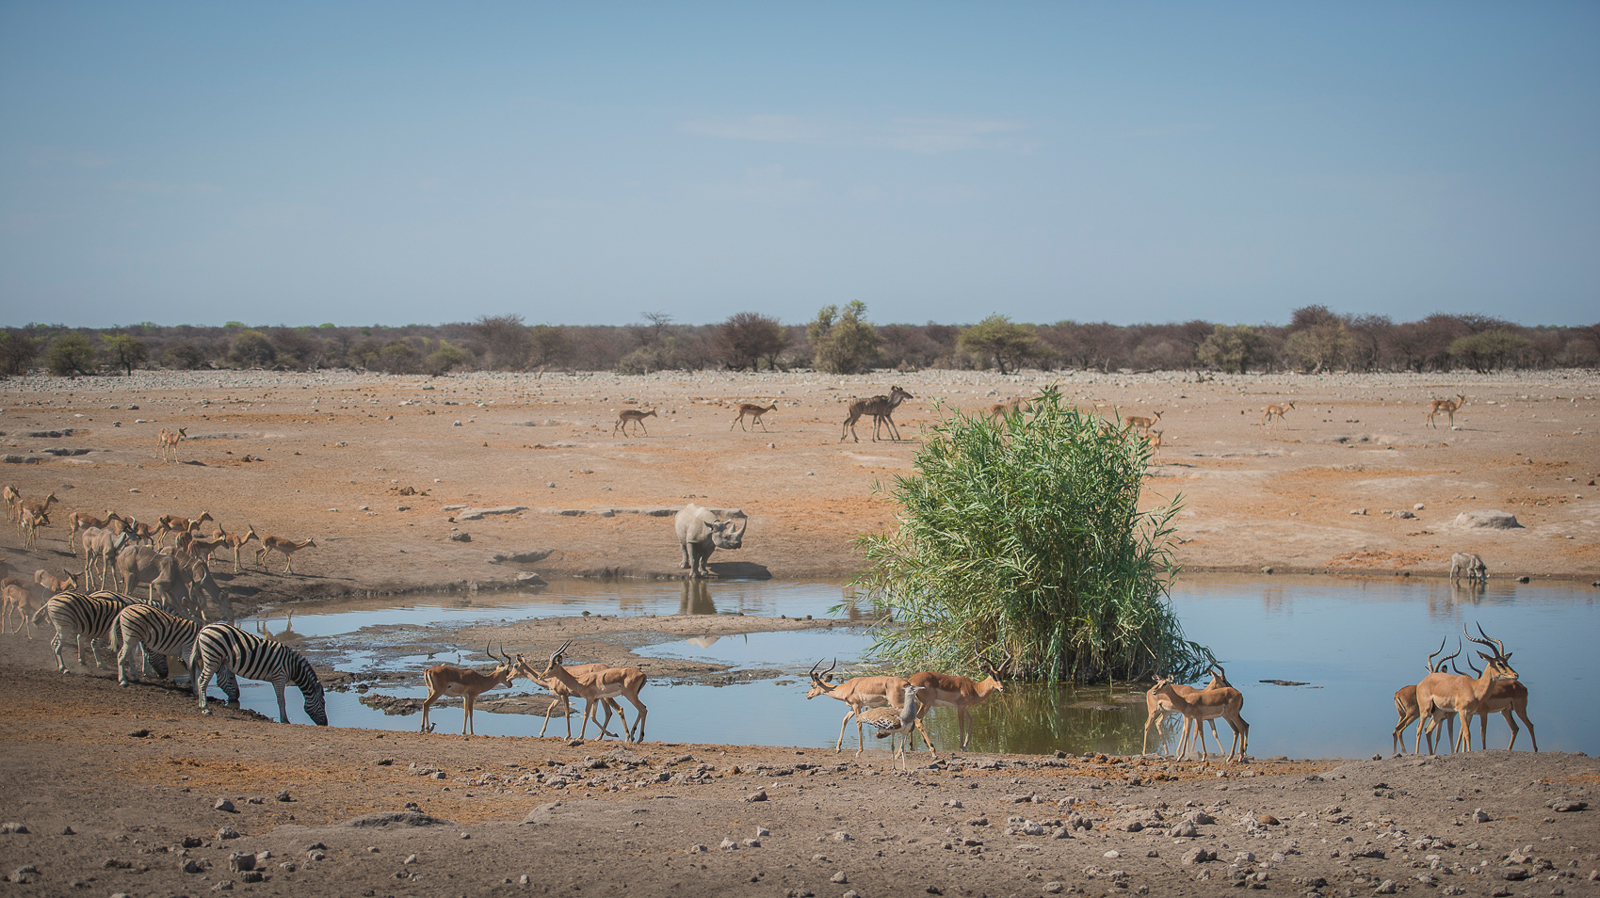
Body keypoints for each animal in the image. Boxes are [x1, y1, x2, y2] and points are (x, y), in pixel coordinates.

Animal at [188, 624, 324, 729]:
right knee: (202, 680)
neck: (293, 666)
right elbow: (281, 700)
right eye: (323, 703)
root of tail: (203, 629)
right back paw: (205, 709)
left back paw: (201, 705)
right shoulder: (279, 677)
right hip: (212, 657)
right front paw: (285, 720)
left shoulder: (276, 679)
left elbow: (280, 699)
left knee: (201, 679)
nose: (325, 724)